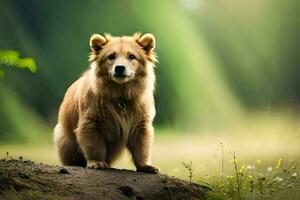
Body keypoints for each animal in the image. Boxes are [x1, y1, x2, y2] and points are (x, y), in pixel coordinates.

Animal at [53, 32, 159, 173]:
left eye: (132, 56)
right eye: (111, 56)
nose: (119, 68)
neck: (120, 95)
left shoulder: (140, 121)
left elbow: (141, 146)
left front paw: (146, 166)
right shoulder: (91, 120)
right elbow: (94, 144)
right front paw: (97, 162)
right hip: (65, 136)